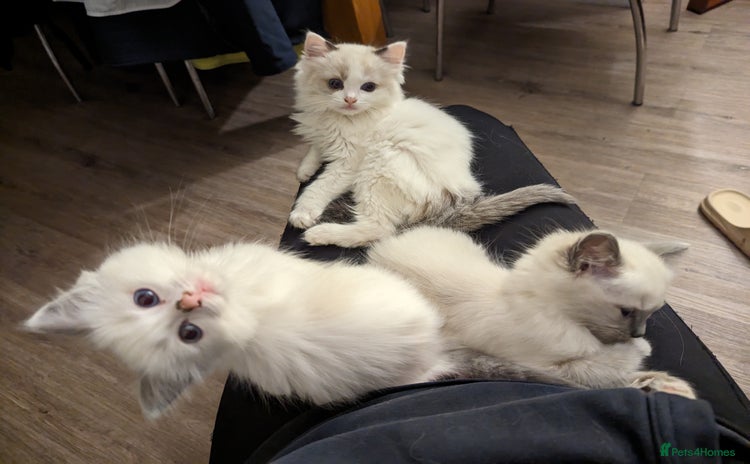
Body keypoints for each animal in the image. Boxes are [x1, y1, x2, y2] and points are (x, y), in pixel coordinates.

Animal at [288, 31, 574, 248]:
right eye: (335, 84)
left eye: (368, 87)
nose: (350, 100)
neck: (338, 119)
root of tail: (452, 201)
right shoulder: (319, 133)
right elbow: (314, 149)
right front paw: (304, 169)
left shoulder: (349, 163)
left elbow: (320, 186)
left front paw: (303, 212)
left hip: (377, 170)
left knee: (379, 230)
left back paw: (321, 233)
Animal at [368, 226, 697, 399]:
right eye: (627, 312)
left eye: (651, 313)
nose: (640, 332)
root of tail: (389, 241)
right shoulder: (549, 366)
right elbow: (608, 366)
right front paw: (643, 352)